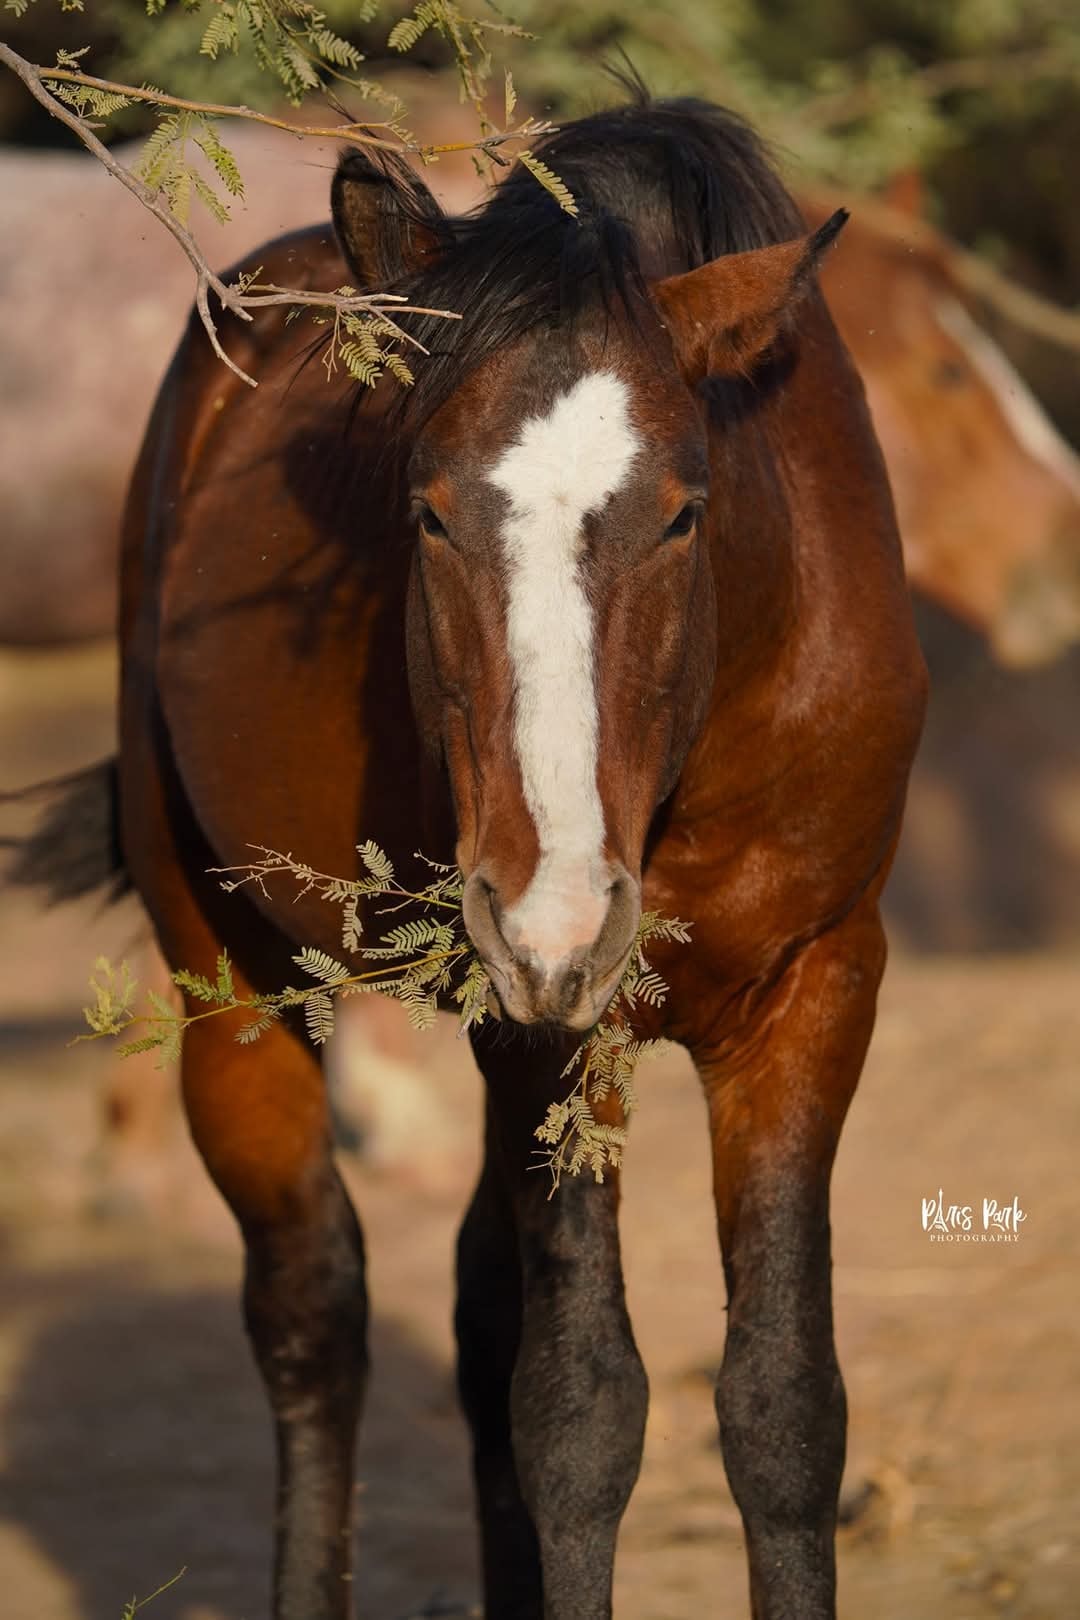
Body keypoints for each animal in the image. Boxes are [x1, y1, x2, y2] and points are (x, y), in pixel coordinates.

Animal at [19, 101, 932, 1620]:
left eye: (683, 512)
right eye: (431, 513)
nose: (552, 915)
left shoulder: (815, 992)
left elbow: (784, 1409)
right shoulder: (558, 1027)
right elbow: (580, 1414)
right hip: (238, 982)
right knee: (313, 1313)